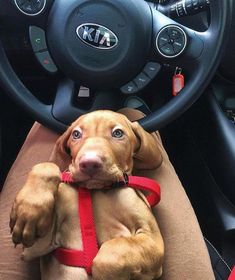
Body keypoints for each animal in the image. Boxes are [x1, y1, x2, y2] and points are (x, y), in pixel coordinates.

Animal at [10, 110, 163, 278]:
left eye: (118, 133)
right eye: (76, 134)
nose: (89, 163)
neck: (96, 190)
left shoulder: (152, 239)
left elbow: (111, 254)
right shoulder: (37, 247)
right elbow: (48, 165)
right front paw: (29, 210)